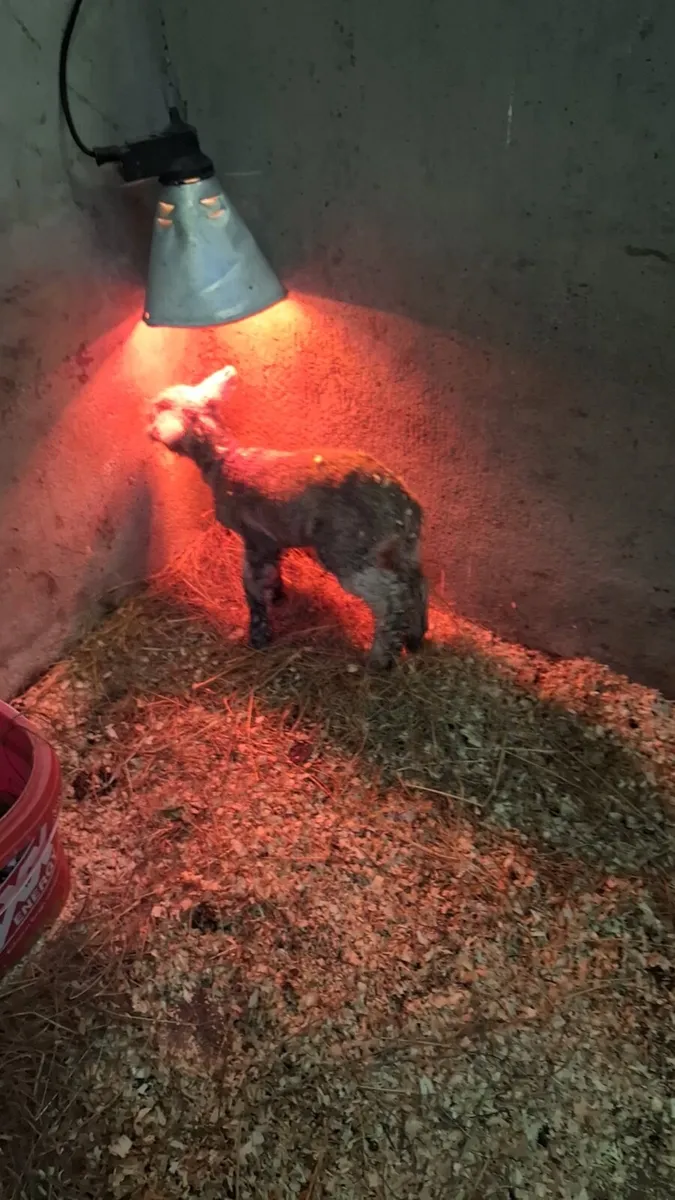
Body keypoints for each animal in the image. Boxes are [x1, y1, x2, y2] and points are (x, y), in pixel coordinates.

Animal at [147, 365, 429, 668]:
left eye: (161, 405)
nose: (147, 423)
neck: (224, 461)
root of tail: (404, 504)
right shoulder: (272, 538)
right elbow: (272, 573)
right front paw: (279, 595)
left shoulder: (254, 536)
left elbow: (252, 585)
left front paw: (259, 635)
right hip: (403, 546)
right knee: (416, 582)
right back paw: (415, 638)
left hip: (348, 548)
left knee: (390, 596)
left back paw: (380, 658)